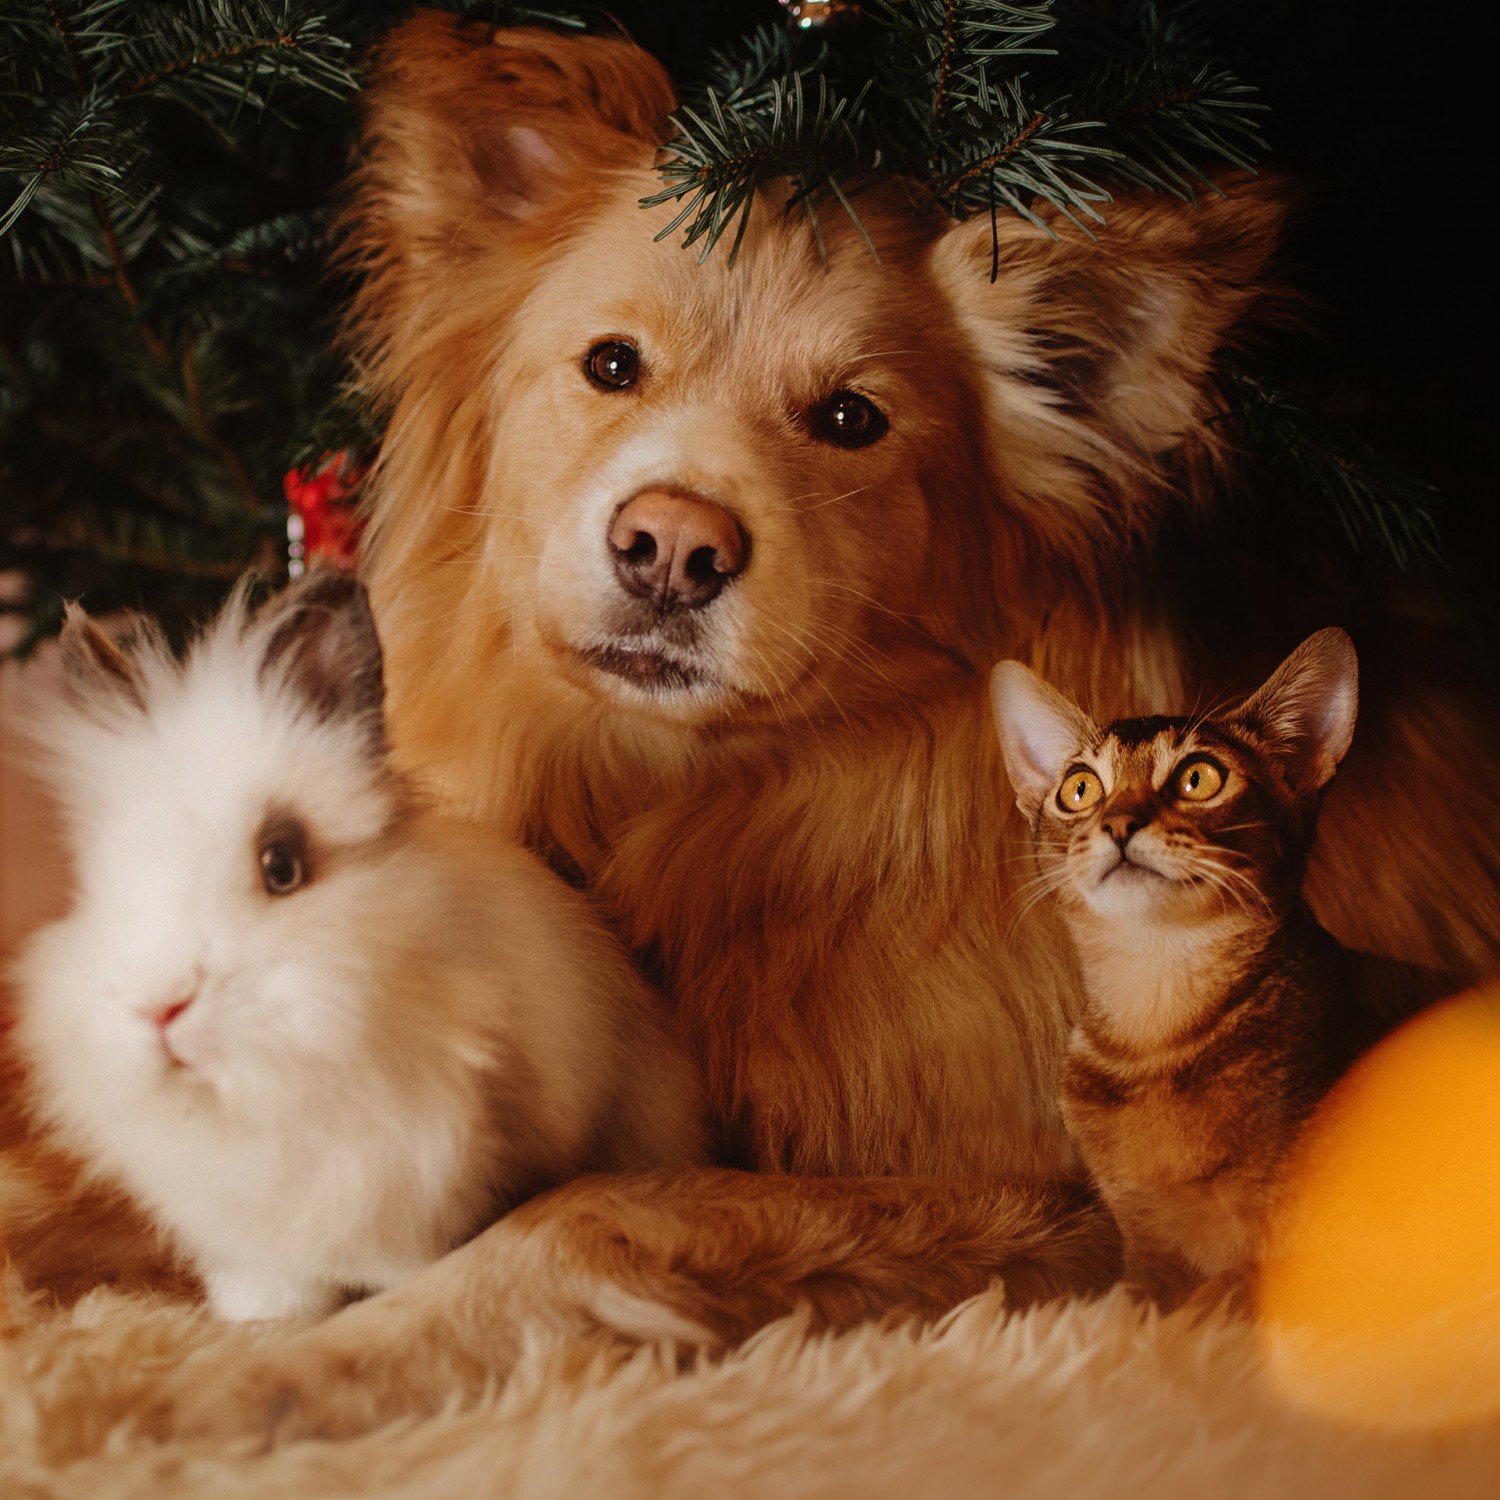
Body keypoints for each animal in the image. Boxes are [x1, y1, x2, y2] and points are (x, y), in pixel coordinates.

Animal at [990, 627, 1446, 1308]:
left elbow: (1217, 1299)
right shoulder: (1144, 1249)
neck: (1154, 1033)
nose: (1118, 823)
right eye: (1080, 789)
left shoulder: (1300, 1253)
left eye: (1198, 777)